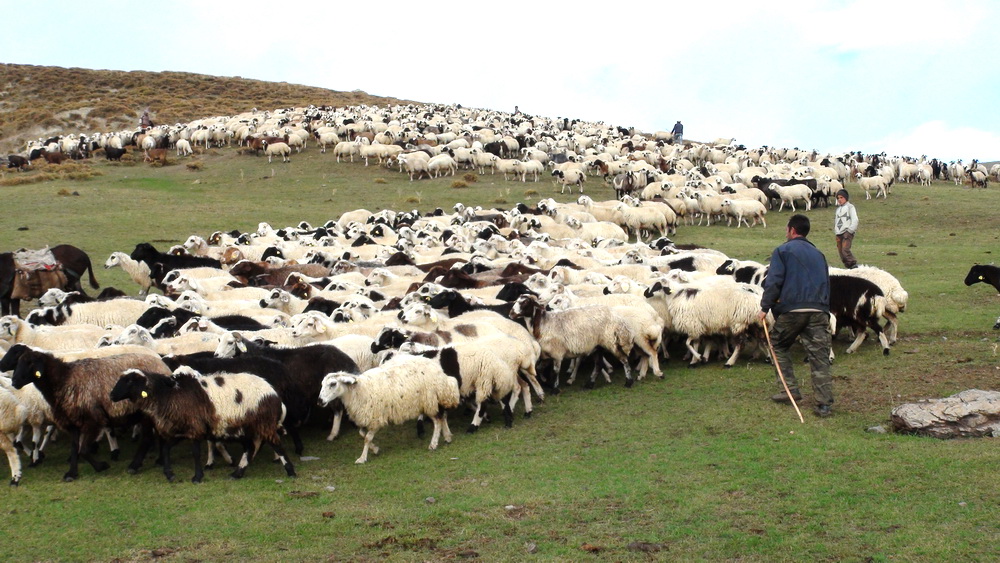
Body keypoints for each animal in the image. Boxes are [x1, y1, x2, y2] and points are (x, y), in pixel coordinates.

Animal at [112, 368, 296, 482]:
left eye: (129, 381)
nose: (111, 395)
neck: (169, 396)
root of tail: (274, 394)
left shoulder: (195, 428)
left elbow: (195, 453)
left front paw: (197, 477)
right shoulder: (179, 430)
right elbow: (165, 449)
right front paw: (169, 474)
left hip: (264, 424)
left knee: (277, 445)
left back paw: (291, 471)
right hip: (248, 428)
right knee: (251, 448)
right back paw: (237, 473)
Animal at [320, 354, 460, 464]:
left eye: (333, 384)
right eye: (321, 384)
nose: (319, 401)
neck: (360, 390)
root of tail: (440, 373)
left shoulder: (375, 419)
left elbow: (367, 438)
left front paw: (362, 458)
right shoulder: (365, 418)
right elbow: (362, 434)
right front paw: (375, 449)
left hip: (429, 401)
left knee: (437, 421)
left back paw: (433, 444)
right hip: (434, 400)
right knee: (443, 416)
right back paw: (447, 436)